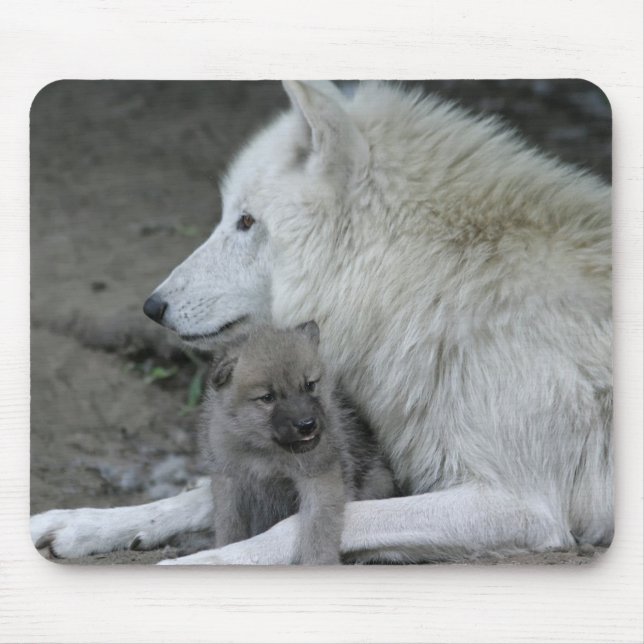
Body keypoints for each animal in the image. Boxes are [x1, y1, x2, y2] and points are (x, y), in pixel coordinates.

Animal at [200, 321, 395, 564]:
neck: (264, 453)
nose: (307, 425)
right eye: (267, 397)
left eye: (310, 385)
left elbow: (319, 532)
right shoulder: (229, 482)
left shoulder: (319, 479)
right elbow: (229, 527)